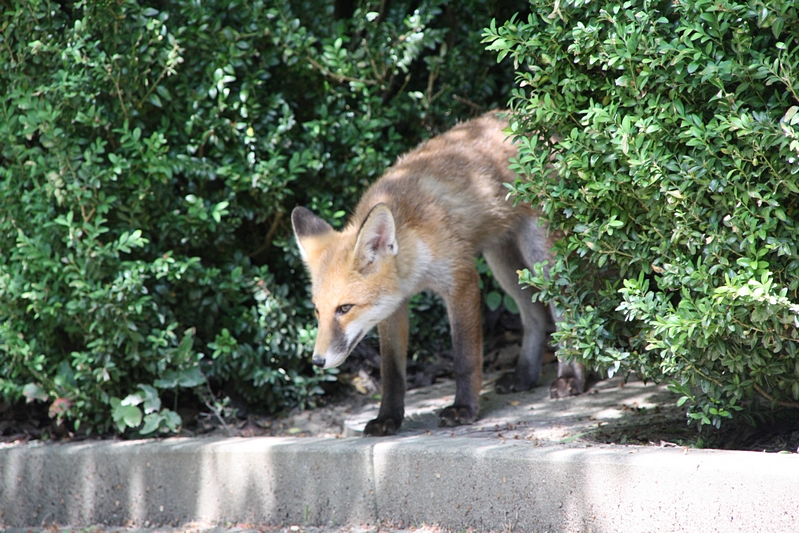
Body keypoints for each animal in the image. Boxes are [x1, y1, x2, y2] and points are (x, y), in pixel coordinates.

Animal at [294, 110, 588, 434]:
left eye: (344, 308)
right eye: (317, 311)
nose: (317, 361)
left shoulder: (461, 280)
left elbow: (464, 358)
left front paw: (464, 409)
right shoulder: (392, 308)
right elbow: (392, 372)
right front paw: (387, 418)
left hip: (541, 257)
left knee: (564, 313)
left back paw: (571, 377)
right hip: (504, 264)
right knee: (536, 317)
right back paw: (524, 375)